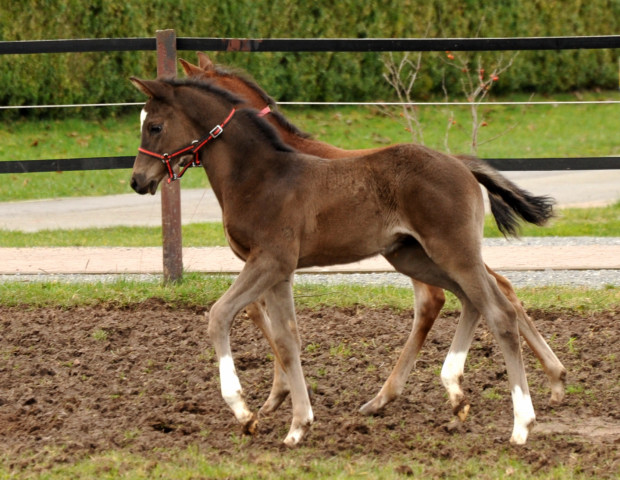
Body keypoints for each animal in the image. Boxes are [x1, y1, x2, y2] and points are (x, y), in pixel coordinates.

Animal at [133, 76, 548, 446]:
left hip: (452, 250)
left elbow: (220, 315)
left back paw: (521, 425)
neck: (259, 177)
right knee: (470, 300)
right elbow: (287, 340)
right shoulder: (280, 272)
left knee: (499, 313)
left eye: (155, 126)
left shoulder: (269, 261)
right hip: (413, 256)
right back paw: (457, 391)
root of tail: (461, 165)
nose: (138, 181)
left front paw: (244, 412)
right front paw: (298, 425)